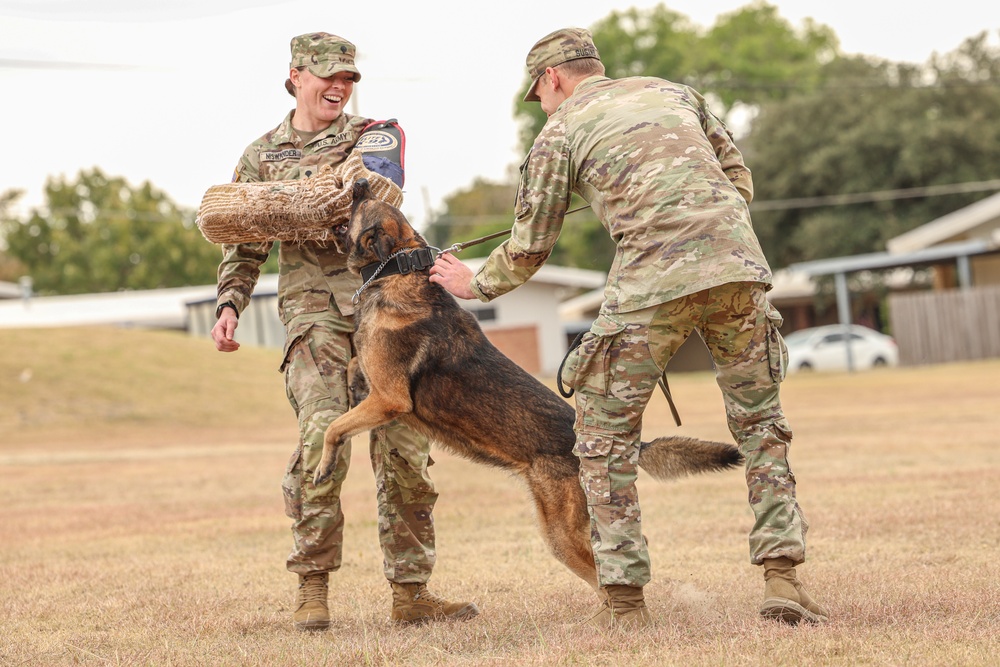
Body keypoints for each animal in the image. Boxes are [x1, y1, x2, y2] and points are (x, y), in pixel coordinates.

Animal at [316, 179, 748, 588]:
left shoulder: (389, 400)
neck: (398, 267)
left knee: (604, 572)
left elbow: (334, 427)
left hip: (559, 532)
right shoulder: (377, 391)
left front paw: (323, 465)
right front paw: (348, 383)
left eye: (360, 203)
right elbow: (353, 368)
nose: (358, 182)